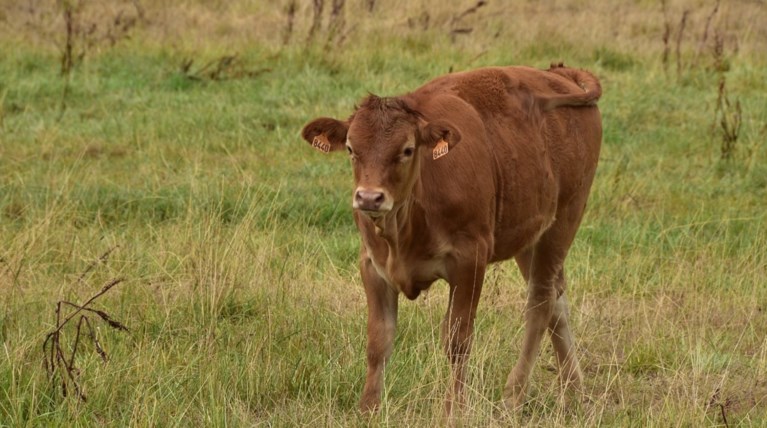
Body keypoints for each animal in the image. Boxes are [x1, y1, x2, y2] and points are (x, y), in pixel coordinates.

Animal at [304, 62, 604, 412]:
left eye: (407, 150)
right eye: (351, 149)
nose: (369, 198)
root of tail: (559, 73)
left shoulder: (470, 261)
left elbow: (457, 340)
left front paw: (454, 407)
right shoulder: (372, 265)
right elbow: (379, 341)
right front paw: (369, 408)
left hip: (565, 219)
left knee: (540, 302)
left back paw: (514, 394)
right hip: (531, 234)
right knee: (556, 299)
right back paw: (575, 390)